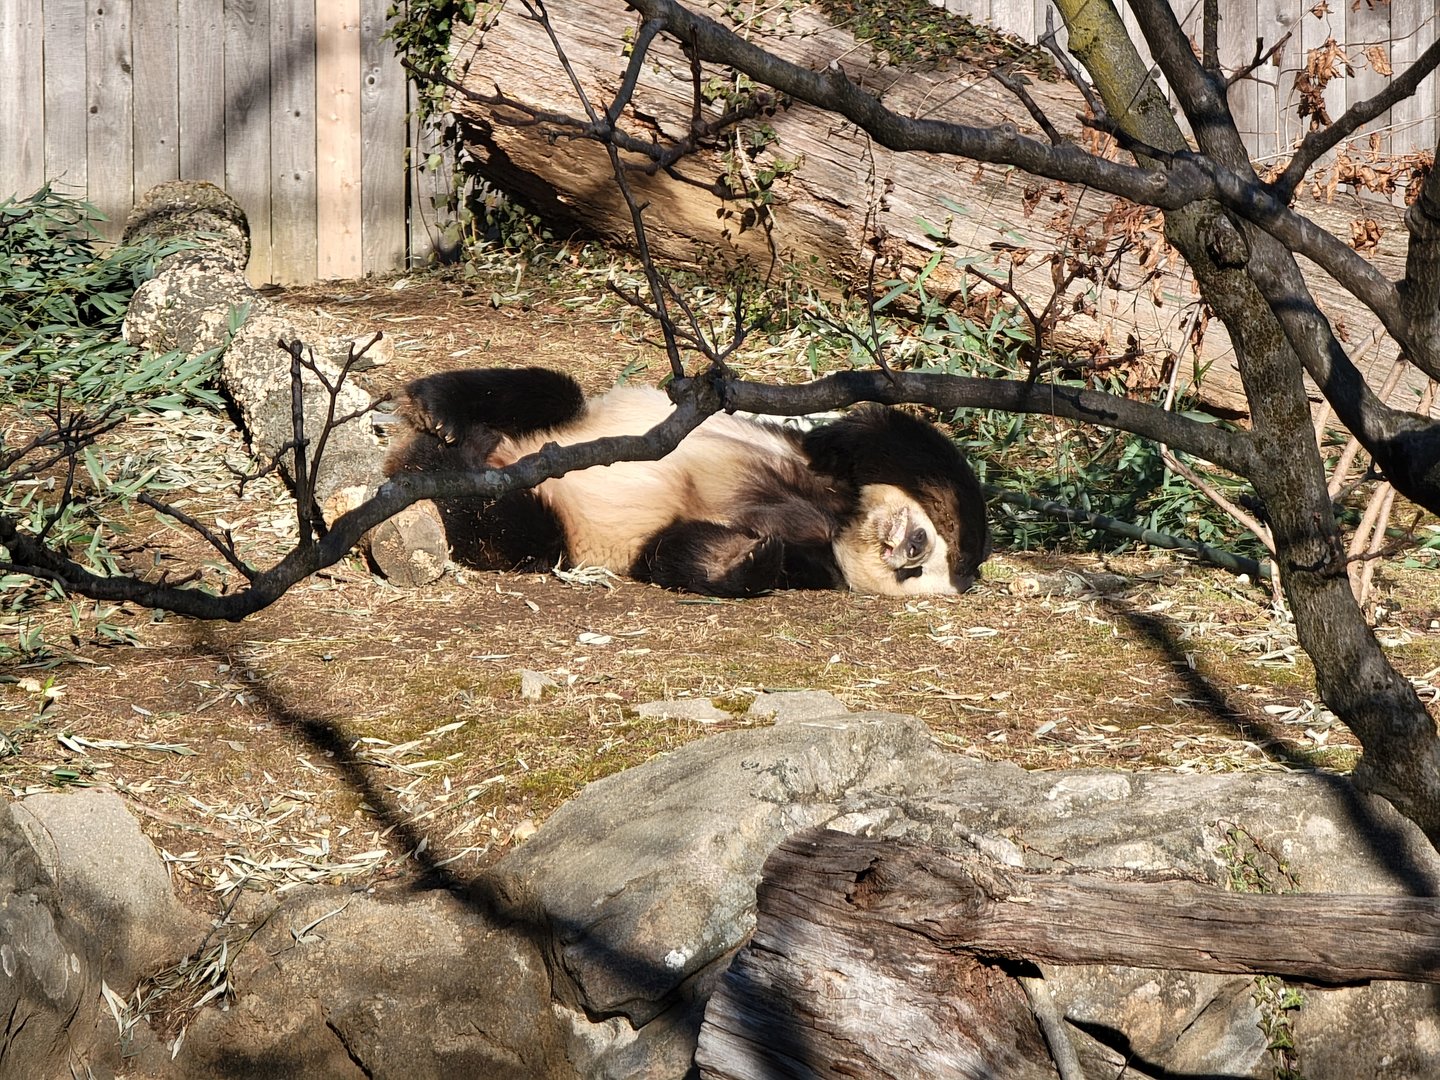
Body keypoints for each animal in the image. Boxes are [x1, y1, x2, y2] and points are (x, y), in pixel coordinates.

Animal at [384, 366, 990, 598]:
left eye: (913, 574)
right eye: (923, 551)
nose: (910, 546)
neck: (840, 519)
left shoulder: (820, 561)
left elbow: (678, 551)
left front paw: (754, 555)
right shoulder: (813, 455)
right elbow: (886, 437)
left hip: (547, 521)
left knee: (516, 526)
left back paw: (445, 470)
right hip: (580, 419)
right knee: (548, 390)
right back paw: (440, 414)